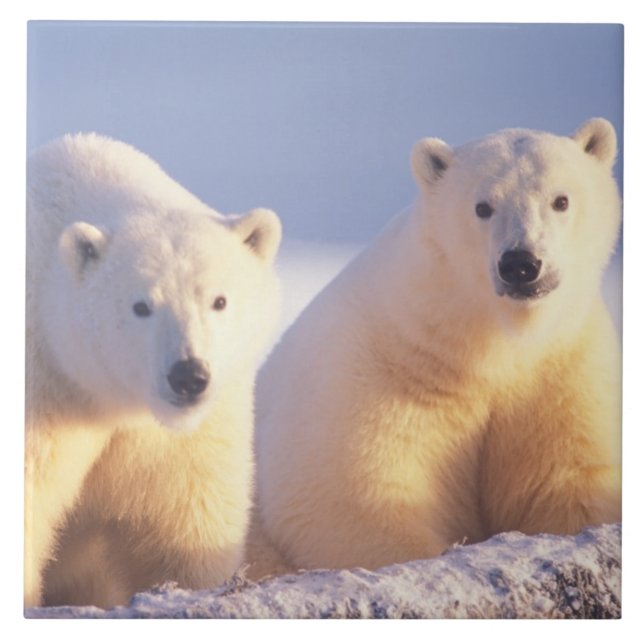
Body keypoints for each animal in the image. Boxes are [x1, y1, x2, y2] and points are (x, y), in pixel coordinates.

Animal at [25, 133, 282, 608]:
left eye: (218, 300)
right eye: (141, 306)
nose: (188, 376)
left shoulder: (182, 434)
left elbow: (185, 515)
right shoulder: (43, 386)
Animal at [248, 118, 622, 576]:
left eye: (561, 200)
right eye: (482, 206)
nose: (520, 264)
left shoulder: (563, 368)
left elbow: (568, 478)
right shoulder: (376, 370)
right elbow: (349, 497)